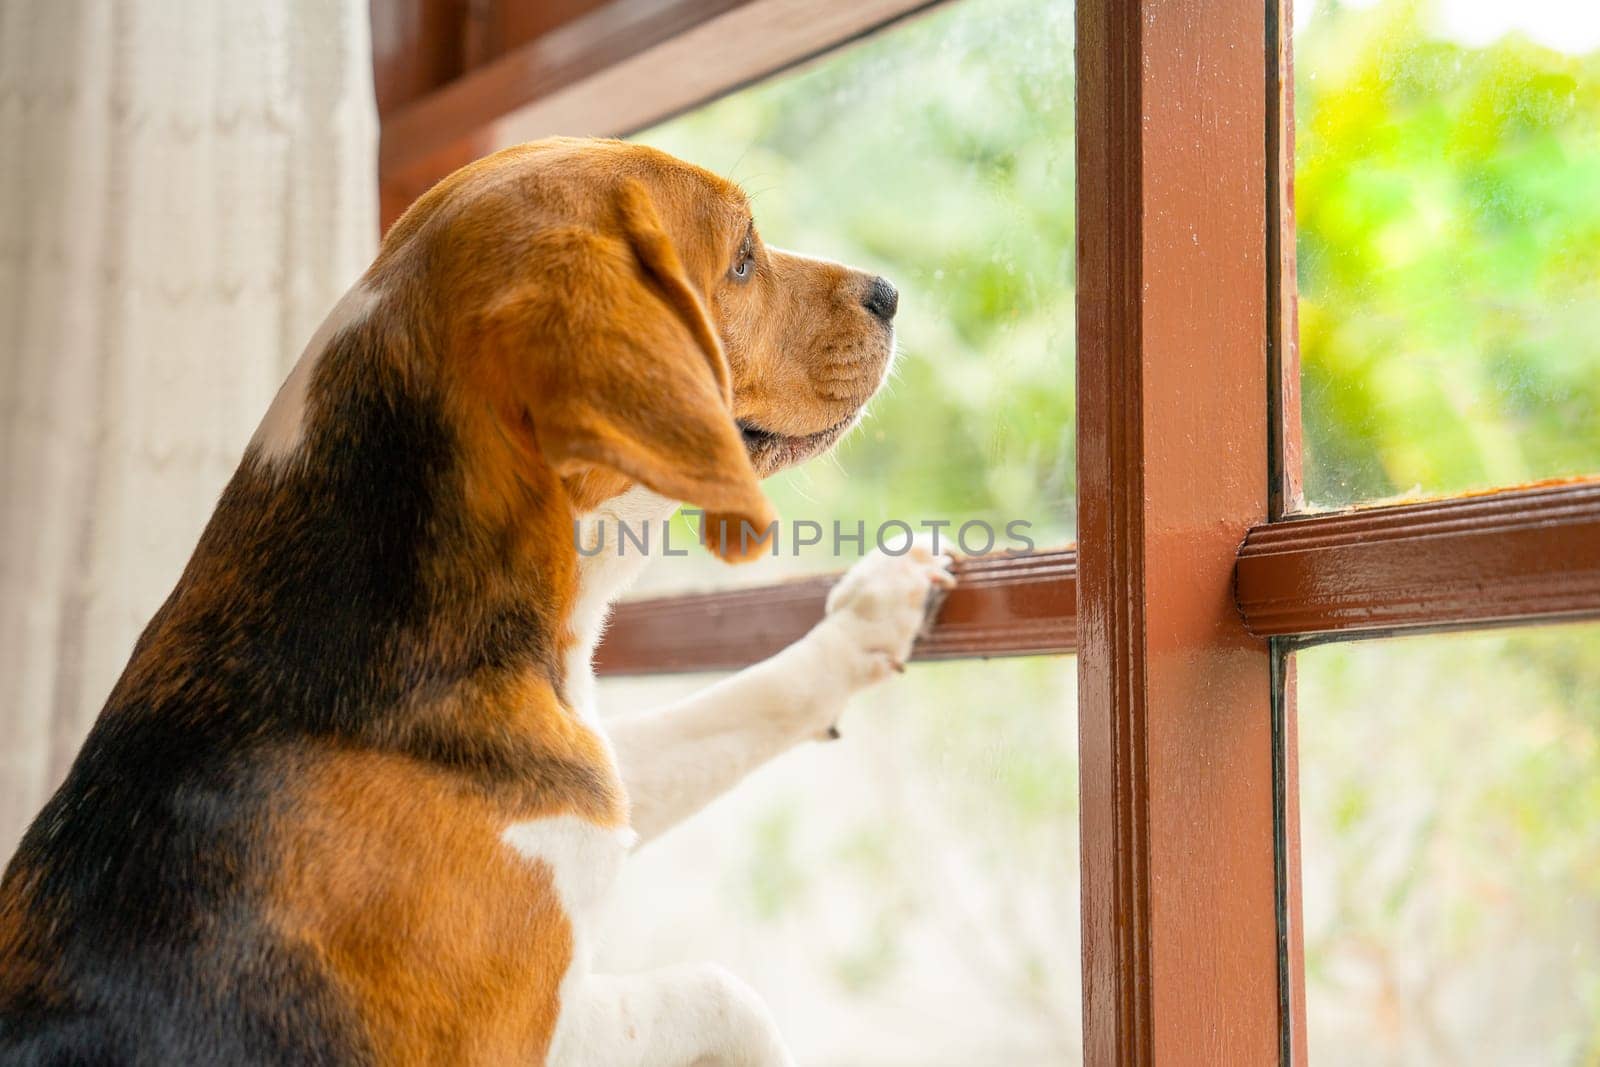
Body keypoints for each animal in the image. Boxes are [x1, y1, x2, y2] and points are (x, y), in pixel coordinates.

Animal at [0, 135, 947, 1067]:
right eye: (743, 259)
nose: (890, 293)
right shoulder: (526, 1029)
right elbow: (725, 990)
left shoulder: (588, 789)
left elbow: (740, 702)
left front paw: (874, 610)